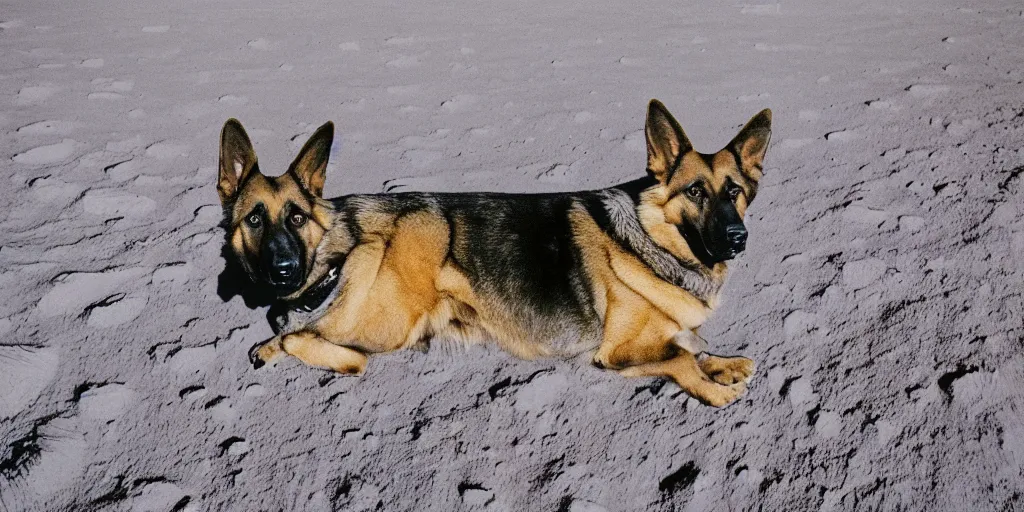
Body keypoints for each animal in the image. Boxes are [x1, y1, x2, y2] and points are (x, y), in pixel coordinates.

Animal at [220, 99, 770, 407]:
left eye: (735, 191)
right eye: (695, 192)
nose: (738, 238)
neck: (656, 240)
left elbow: (691, 345)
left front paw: (723, 363)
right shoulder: (618, 353)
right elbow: (681, 359)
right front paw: (714, 387)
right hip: (386, 323)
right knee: (311, 337)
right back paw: (286, 348)